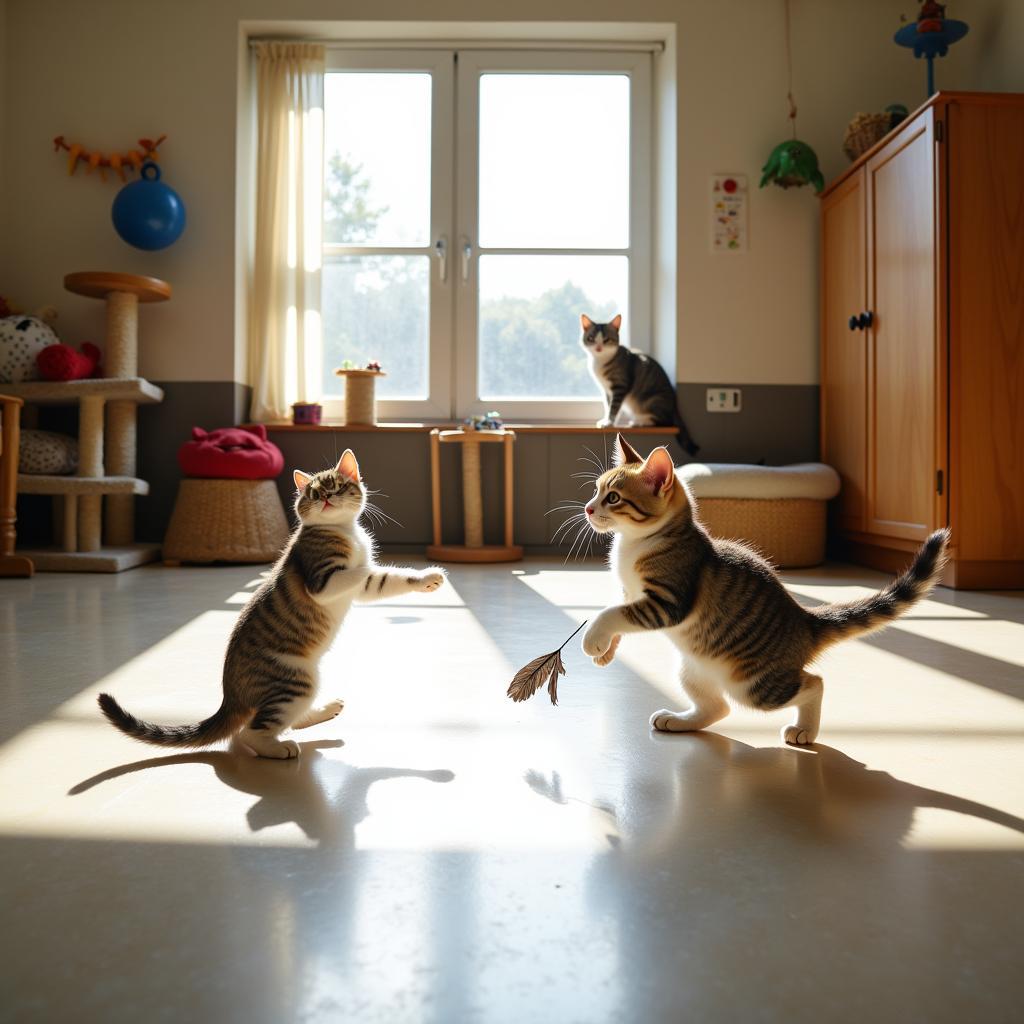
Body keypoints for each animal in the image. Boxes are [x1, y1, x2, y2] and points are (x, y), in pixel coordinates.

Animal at [97, 450, 446, 761]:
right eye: (313, 493)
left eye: (335, 486)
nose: (325, 498)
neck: (345, 531)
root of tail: (230, 698)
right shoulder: (324, 581)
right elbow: (366, 571)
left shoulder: (360, 588)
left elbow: (383, 579)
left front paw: (426, 579)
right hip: (295, 681)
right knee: (249, 732)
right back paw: (279, 748)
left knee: (290, 719)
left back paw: (326, 710)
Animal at [581, 434, 946, 745]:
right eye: (596, 490)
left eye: (613, 498)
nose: (588, 508)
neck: (633, 546)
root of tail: (804, 621)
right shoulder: (631, 596)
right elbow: (618, 614)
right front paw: (607, 650)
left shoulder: (667, 600)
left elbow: (610, 614)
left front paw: (593, 639)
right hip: (693, 669)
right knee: (718, 707)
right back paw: (680, 720)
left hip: (754, 686)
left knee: (813, 684)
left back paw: (805, 729)